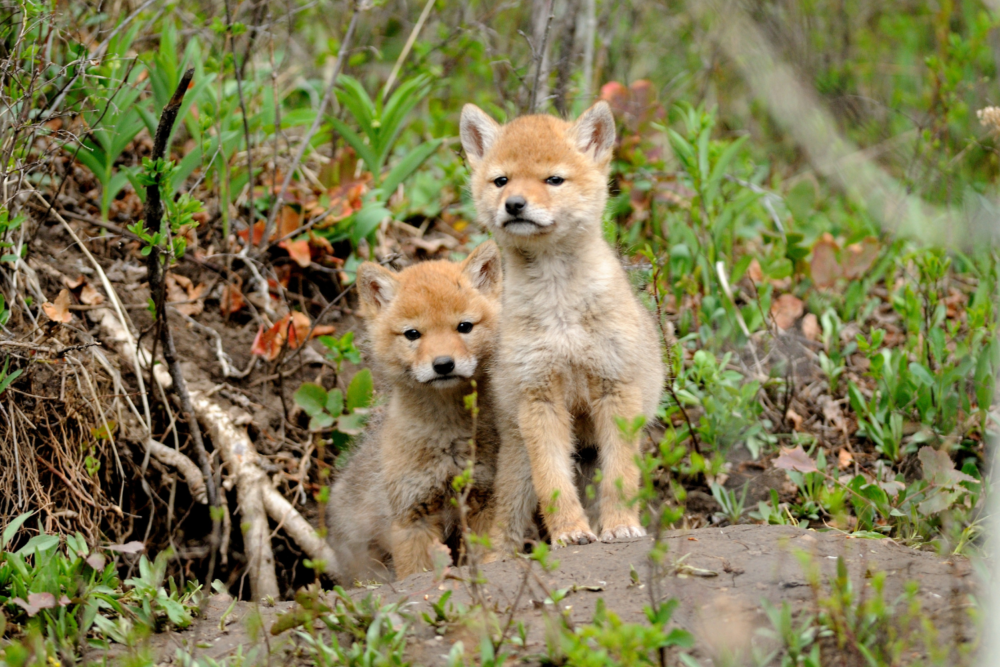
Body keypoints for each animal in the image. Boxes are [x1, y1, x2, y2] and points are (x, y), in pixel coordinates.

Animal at [326, 241, 503, 582]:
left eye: (464, 327)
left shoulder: (482, 500)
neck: (447, 437)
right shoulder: (411, 515)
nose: (443, 364)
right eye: (412, 334)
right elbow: (416, 571)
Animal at [459, 100, 664, 554]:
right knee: (506, 523)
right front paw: (570, 531)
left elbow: (622, 479)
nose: (514, 204)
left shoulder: (615, 389)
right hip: (519, 463)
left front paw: (620, 526)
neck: (560, 310)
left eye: (553, 179)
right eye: (501, 180)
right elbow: (553, 483)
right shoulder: (540, 397)